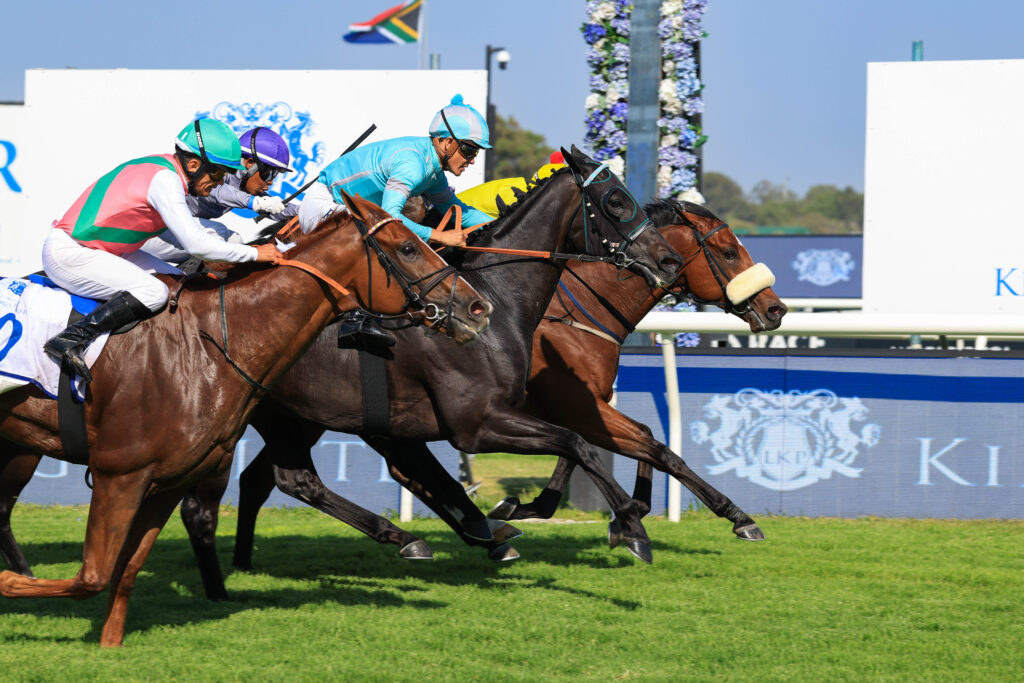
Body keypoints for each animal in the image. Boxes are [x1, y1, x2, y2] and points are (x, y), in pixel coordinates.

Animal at [0, 192, 491, 647]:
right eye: (408, 247)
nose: (479, 308)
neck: (213, 341)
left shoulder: (169, 479)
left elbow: (125, 569)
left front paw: (110, 643)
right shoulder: (119, 473)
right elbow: (93, 576)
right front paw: (10, 583)